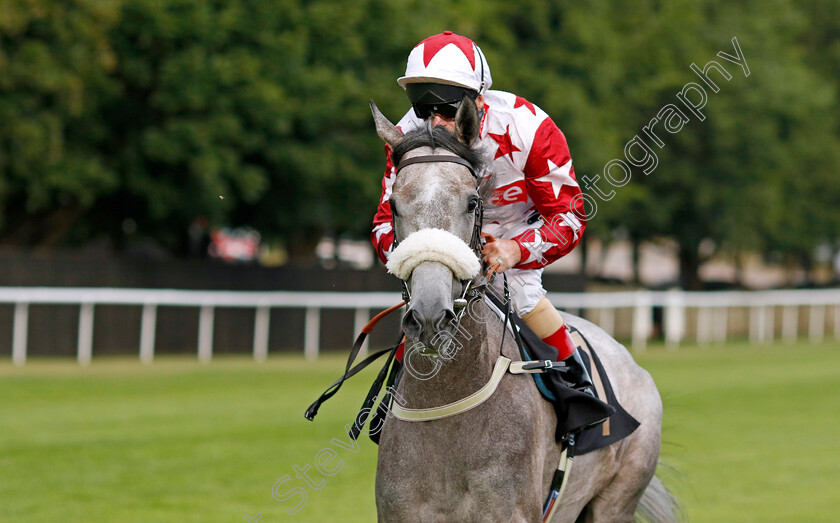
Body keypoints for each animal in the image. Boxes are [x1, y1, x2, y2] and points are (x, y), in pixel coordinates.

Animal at [370, 99, 680, 523]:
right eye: (394, 204)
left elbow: (565, 210)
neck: (447, 408)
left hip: (617, 498)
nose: (431, 316)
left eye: (472, 202)